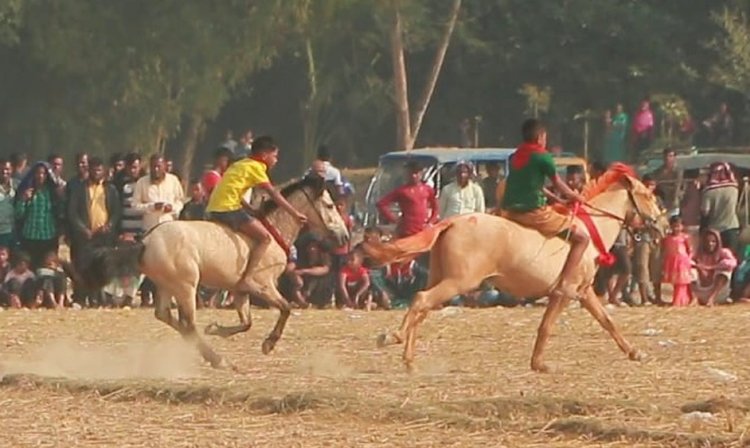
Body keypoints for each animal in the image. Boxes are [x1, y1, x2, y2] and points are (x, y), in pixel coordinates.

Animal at [73, 175, 350, 368]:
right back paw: (217, 359)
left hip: (166, 285)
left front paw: (216, 329)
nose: (345, 236)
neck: (273, 230)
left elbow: (246, 322)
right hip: (186, 286)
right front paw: (269, 343)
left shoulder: (241, 291)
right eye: (329, 205)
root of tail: (146, 241)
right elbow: (286, 308)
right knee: (187, 323)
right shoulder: (262, 285)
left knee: (165, 316)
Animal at [364, 164, 668, 372]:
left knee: (422, 308)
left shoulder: (582, 292)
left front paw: (634, 352)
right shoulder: (566, 291)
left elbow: (606, 321)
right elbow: (548, 326)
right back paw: (393, 338)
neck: (591, 229)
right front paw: (539, 364)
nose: (663, 226)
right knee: (420, 300)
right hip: (459, 282)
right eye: (647, 195)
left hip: (442, 278)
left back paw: (409, 359)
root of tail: (453, 221)